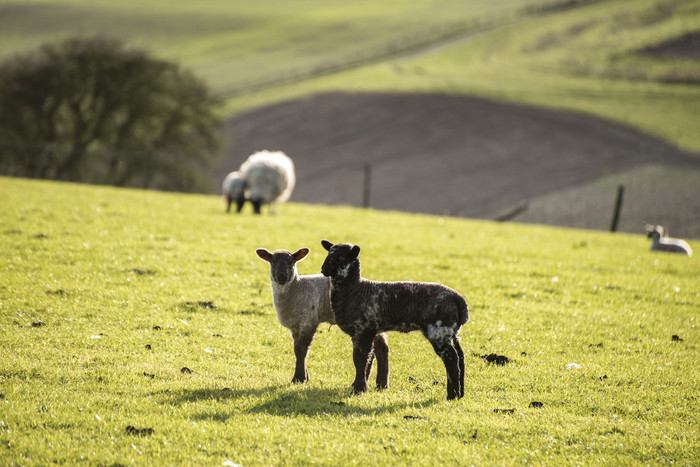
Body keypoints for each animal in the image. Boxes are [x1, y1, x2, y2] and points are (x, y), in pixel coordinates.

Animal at [256, 247, 392, 386]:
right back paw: (376, 381)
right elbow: (297, 349)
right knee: (377, 348)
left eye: (291, 262)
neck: (296, 288)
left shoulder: (308, 320)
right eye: (272, 262)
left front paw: (299, 378)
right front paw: (305, 377)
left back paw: (381, 383)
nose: (282, 277)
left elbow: (301, 349)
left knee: (381, 347)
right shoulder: (295, 326)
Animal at [322, 239, 470, 400]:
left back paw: (452, 395)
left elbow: (360, 359)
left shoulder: (363, 330)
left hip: (439, 330)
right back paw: (460, 393)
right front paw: (360, 386)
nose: (323, 269)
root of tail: (459, 300)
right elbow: (369, 359)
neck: (355, 290)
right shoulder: (372, 330)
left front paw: (360, 388)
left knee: (451, 358)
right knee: (460, 356)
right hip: (450, 332)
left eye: (343, 257)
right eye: (328, 253)